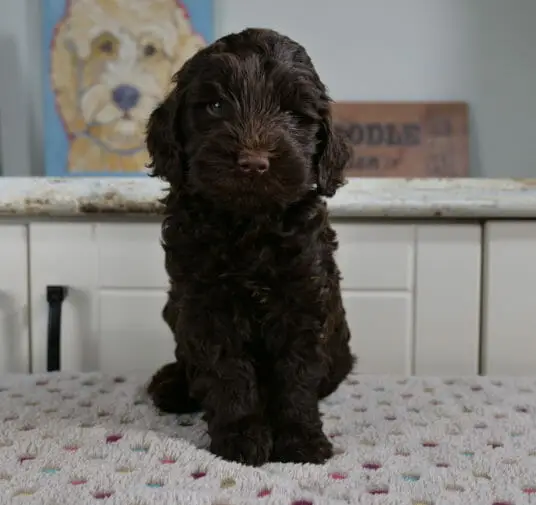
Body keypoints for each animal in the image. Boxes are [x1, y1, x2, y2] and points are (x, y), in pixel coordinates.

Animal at [146, 26, 356, 464]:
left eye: (294, 113)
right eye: (214, 105)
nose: (254, 163)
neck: (250, 224)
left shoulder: (304, 299)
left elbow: (296, 375)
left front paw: (300, 438)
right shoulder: (204, 302)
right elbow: (226, 369)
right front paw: (241, 435)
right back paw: (172, 385)